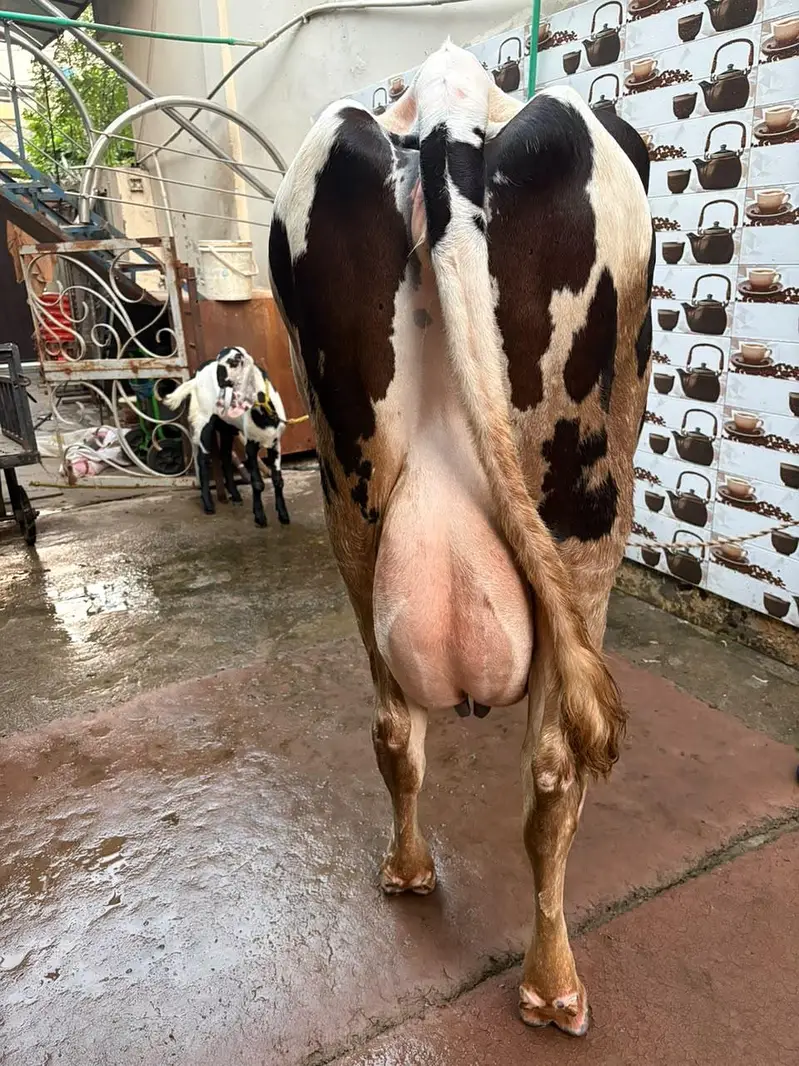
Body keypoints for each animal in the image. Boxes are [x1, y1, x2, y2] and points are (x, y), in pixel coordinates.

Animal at [268, 41, 653, 1036]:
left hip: (351, 504)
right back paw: (553, 986)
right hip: (586, 519)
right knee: (554, 775)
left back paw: (407, 875)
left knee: (392, 725)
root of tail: (447, 103)